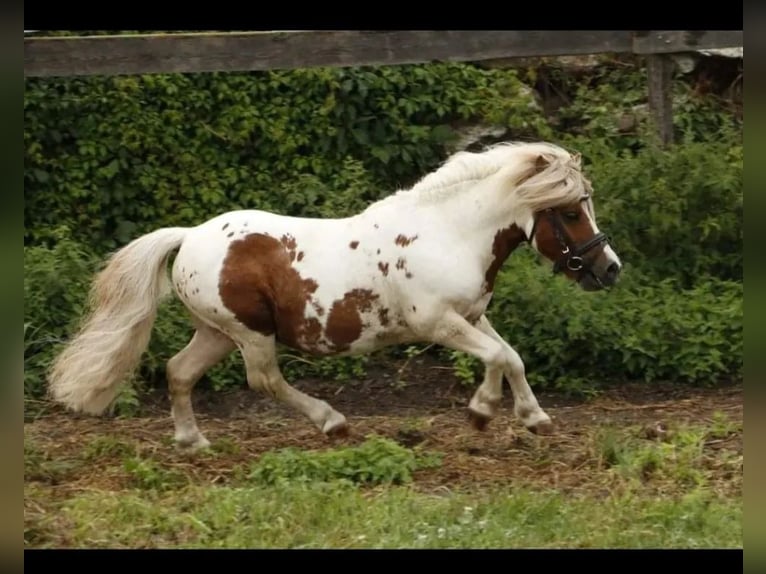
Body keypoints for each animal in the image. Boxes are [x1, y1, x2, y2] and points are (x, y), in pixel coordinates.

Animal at [48, 143, 620, 450]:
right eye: (572, 211)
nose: (609, 269)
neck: (451, 232)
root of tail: (188, 237)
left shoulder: (473, 316)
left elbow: (513, 357)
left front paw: (535, 419)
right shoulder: (439, 323)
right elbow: (498, 359)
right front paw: (480, 413)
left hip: (216, 331)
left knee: (178, 371)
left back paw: (193, 442)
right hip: (249, 332)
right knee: (264, 380)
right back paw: (332, 422)